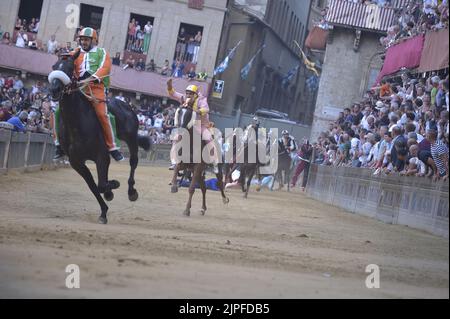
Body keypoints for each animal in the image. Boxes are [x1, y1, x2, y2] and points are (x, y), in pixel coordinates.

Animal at [48, 51, 151, 224]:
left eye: (70, 67)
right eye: (54, 66)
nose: (54, 89)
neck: (76, 122)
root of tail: (124, 103)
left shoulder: (101, 156)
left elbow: (102, 184)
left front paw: (113, 186)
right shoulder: (76, 162)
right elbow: (94, 186)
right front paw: (104, 210)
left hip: (130, 138)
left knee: (133, 161)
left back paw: (131, 191)